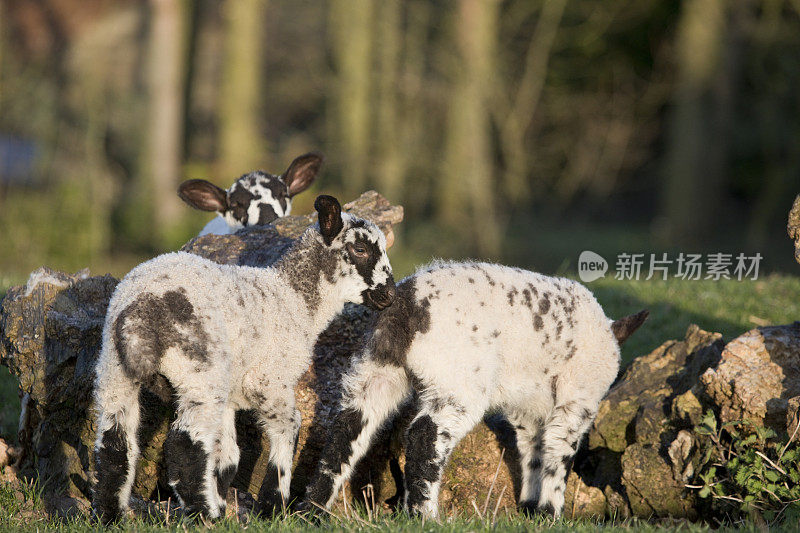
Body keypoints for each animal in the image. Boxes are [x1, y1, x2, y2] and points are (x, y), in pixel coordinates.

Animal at [91, 194, 396, 520]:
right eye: (360, 249)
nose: (390, 295)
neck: (295, 300)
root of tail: (140, 312)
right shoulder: (269, 380)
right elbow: (289, 427)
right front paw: (271, 506)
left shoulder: (230, 396)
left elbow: (228, 457)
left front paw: (225, 500)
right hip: (200, 369)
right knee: (186, 444)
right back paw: (204, 516)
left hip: (114, 368)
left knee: (114, 445)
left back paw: (111, 516)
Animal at [304, 260, 648, 516]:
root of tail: (408, 304)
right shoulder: (577, 398)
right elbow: (558, 451)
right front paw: (550, 513)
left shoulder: (526, 410)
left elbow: (533, 450)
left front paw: (530, 509)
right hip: (460, 377)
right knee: (425, 436)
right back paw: (423, 516)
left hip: (378, 369)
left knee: (347, 428)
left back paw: (312, 511)